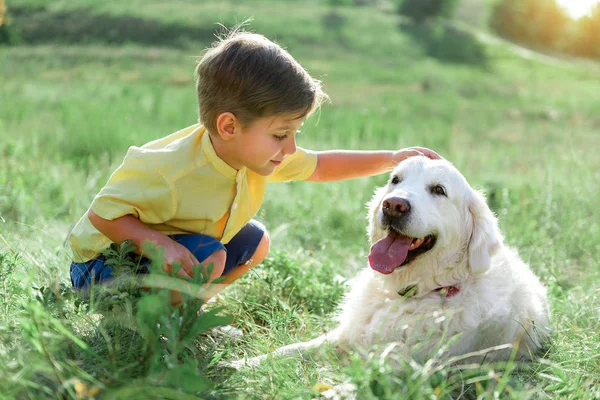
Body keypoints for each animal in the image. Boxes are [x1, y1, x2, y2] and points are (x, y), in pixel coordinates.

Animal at [227, 156, 552, 368]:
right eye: (396, 180)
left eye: (439, 190)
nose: (394, 205)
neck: (409, 293)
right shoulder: (344, 336)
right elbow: (293, 348)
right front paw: (241, 364)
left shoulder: (405, 366)